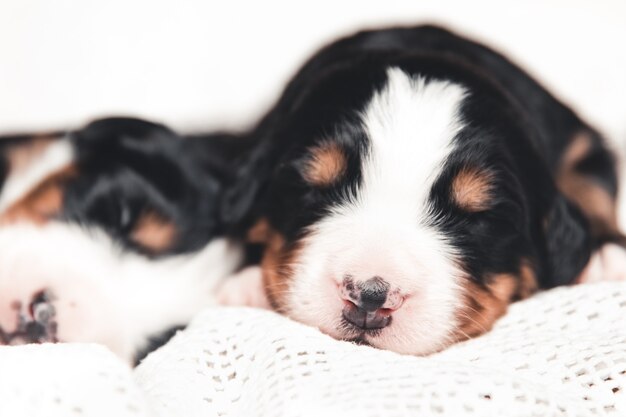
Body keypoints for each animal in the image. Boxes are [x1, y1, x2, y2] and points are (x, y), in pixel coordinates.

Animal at [221, 25, 624, 354]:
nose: (369, 298)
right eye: (312, 188)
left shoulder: (580, 145)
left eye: (476, 217)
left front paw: (604, 255)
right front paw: (246, 285)